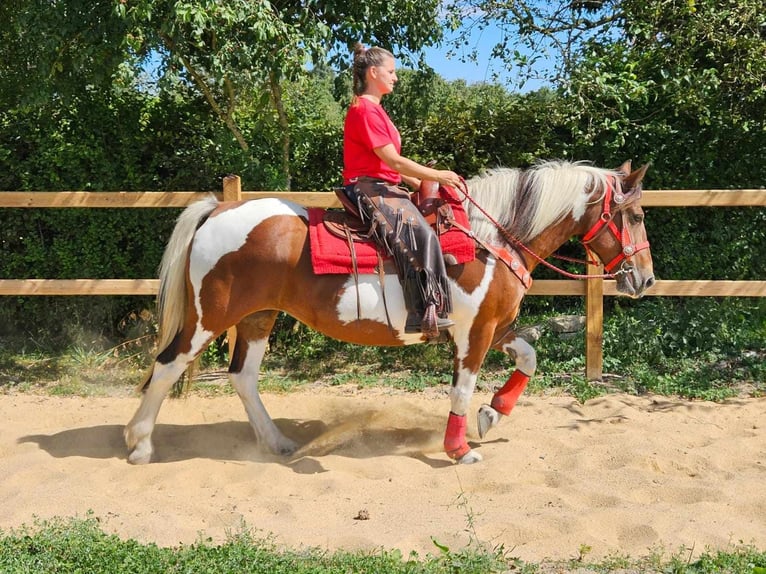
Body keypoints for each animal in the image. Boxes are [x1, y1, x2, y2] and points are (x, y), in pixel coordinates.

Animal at [124, 160, 656, 466]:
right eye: (634, 215)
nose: (646, 280)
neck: (492, 238)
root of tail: (217, 211)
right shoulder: (475, 333)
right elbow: (461, 389)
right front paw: (458, 448)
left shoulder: (494, 326)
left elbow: (528, 357)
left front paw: (492, 415)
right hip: (209, 318)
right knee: (167, 367)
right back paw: (140, 444)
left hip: (258, 317)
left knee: (243, 376)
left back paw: (276, 444)